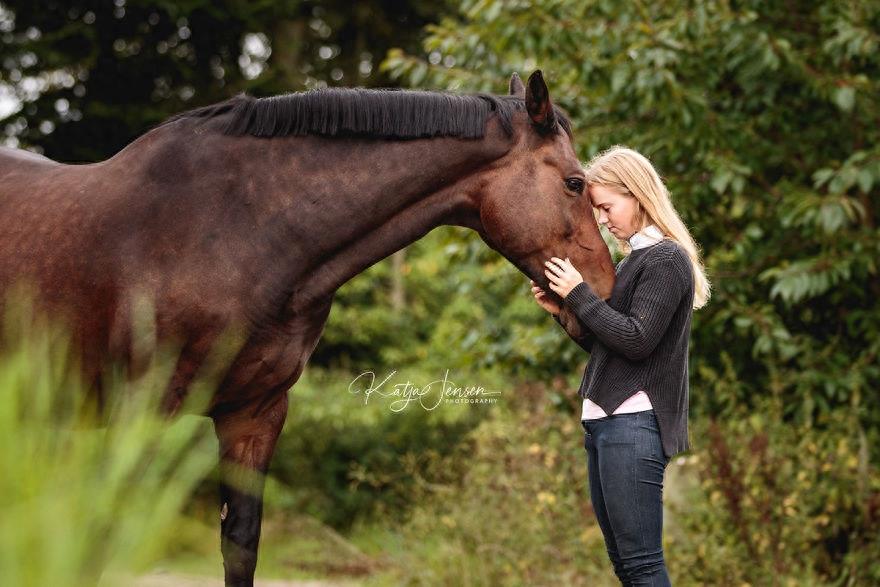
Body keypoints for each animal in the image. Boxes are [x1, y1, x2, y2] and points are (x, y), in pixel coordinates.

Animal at [0, 70, 616, 587]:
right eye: (574, 183)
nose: (607, 291)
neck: (234, 227)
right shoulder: (137, 412)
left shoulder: (254, 414)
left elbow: (240, 546)